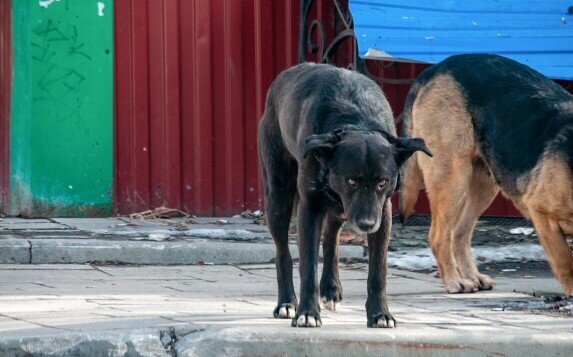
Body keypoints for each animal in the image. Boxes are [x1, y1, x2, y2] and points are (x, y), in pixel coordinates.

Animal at [256, 62, 432, 326]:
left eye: (382, 182)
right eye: (351, 180)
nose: (366, 225)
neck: (357, 120)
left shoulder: (383, 212)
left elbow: (378, 271)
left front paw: (380, 314)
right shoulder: (310, 207)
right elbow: (307, 266)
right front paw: (307, 313)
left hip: (340, 210)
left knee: (331, 239)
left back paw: (330, 289)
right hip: (278, 195)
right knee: (283, 253)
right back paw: (287, 303)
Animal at [398, 54, 572, 296]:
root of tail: (435, 68)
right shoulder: (541, 212)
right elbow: (565, 261)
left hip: (485, 184)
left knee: (459, 234)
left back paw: (472, 276)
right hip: (452, 177)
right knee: (439, 236)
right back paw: (454, 281)